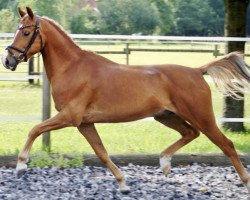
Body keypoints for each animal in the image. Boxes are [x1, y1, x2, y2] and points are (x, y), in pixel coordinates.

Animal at [1, 7, 250, 194]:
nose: (8, 60)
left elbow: (35, 129)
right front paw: (123, 185)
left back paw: (245, 182)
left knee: (226, 144)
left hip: (201, 116)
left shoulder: (70, 117)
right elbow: (101, 153)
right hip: (166, 116)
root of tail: (198, 71)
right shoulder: (85, 123)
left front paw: (21, 166)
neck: (72, 67)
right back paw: (164, 163)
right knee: (190, 133)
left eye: (26, 33)